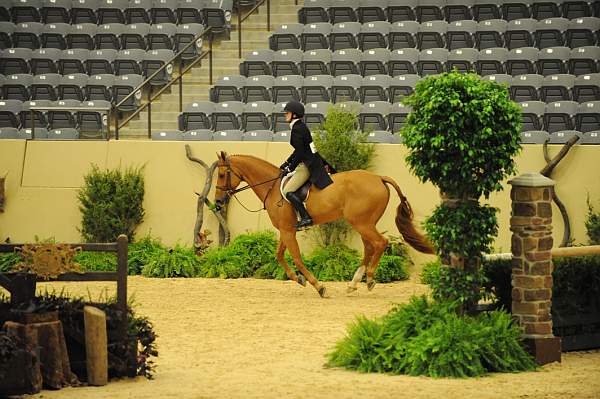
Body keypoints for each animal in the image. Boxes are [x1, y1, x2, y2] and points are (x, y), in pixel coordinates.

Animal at [213, 152, 434, 298]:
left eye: (222, 175)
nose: (217, 202)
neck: (272, 187)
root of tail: (379, 178)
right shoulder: (287, 230)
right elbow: (279, 255)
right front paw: (298, 279)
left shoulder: (287, 231)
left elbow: (296, 258)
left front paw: (318, 286)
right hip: (364, 222)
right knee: (369, 248)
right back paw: (353, 284)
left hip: (361, 222)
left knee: (380, 243)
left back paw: (369, 279)